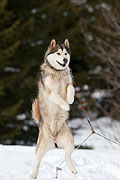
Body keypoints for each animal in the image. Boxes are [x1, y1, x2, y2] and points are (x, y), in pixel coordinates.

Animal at [30, 38, 77, 178]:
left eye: (66, 53)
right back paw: (33, 174)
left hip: (70, 141)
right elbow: (57, 97)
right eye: (58, 53)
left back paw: (72, 169)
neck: (58, 72)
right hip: (41, 145)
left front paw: (70, 99)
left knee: (67, 156)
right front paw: (65, 105)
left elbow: (70, 87)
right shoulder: (50, 92)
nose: (65, 60)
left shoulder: (69, 82)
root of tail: (55, 139)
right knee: (37, 160)